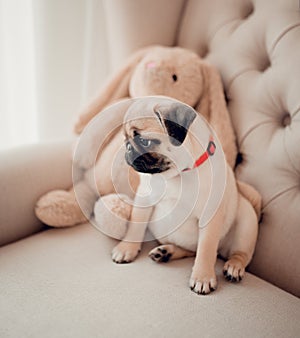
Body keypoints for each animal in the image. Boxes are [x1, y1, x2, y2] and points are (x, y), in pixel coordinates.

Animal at [110, 96, 258, 294]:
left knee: (237, 253)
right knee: (191, 250)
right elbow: (135, 226)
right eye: (125, 138)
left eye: (145, 142)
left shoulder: (210, 215)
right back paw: (166, 252)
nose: (127, 149)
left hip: (247, 221)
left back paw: (234, 266)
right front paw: (127, 248)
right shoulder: (144, 198)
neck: (179, 174)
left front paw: (202, 277)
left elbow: (206, 248)